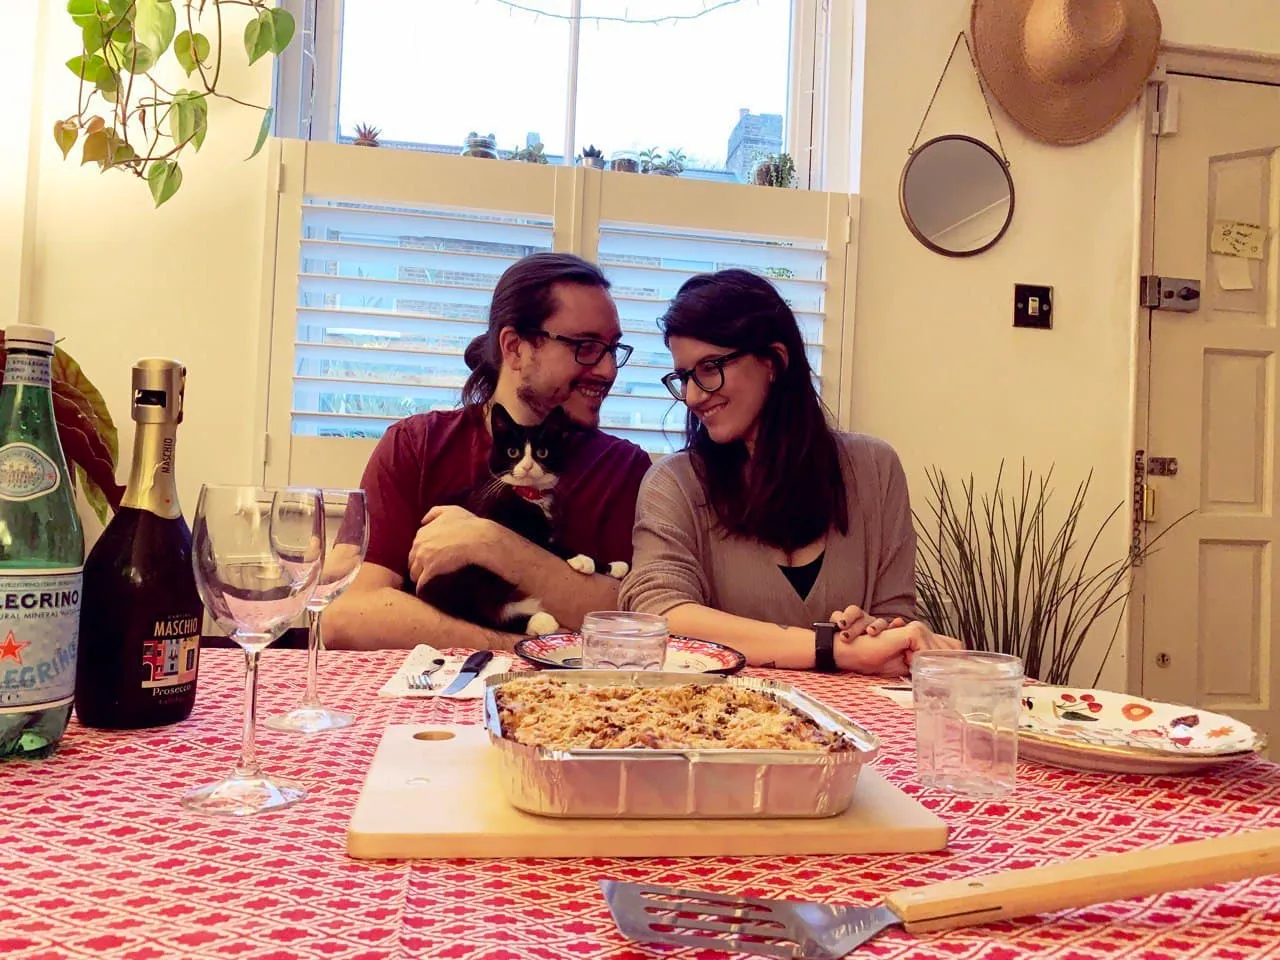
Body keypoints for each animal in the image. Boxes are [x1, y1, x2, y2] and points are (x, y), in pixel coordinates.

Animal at [417, 407, 627, 640]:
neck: (529, 496)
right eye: (512, 452)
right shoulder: (506, 522)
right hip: (461, 576)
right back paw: (539, 621)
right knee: (475, 606)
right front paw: (582, 559)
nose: (527, 466)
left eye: (542, 452)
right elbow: (549, 546)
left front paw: (613, 566)